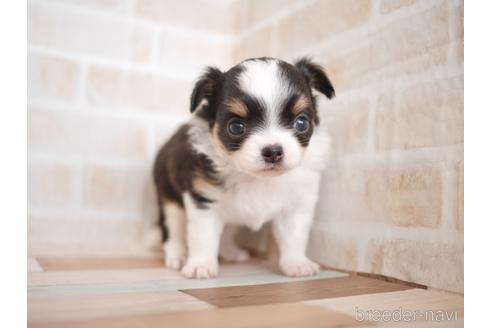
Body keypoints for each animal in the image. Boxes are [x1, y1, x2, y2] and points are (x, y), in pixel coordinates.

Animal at [154, 57, 334, 278]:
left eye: (301, 123)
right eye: (236, 127)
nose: (273, 151)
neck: (257, 178)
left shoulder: (298, 205)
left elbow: (295, 236)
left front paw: (297, 263)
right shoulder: (203, 200)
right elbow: (203, 236)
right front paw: (201, 265)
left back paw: (231, 252)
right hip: (170, 199)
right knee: (172, 230)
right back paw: (176, 256)